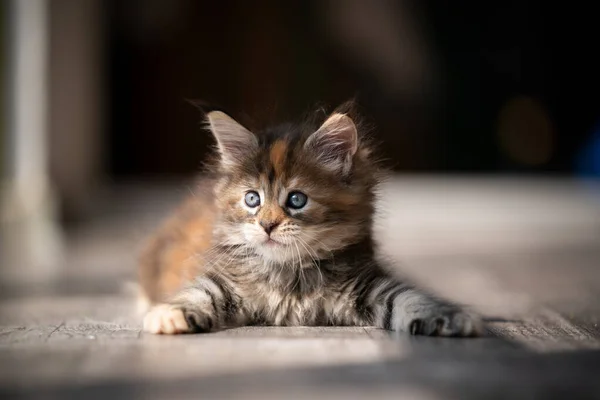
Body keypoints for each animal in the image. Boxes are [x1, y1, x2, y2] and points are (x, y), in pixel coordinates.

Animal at [139, 101, 482, 336]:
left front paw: (452, 318)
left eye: (296, 200)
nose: (267, 225)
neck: (289, 274)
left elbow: (406, 297)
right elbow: (200, 291)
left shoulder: (366, 284)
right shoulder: (225, 277)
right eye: (252, 199)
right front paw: (170, 313)